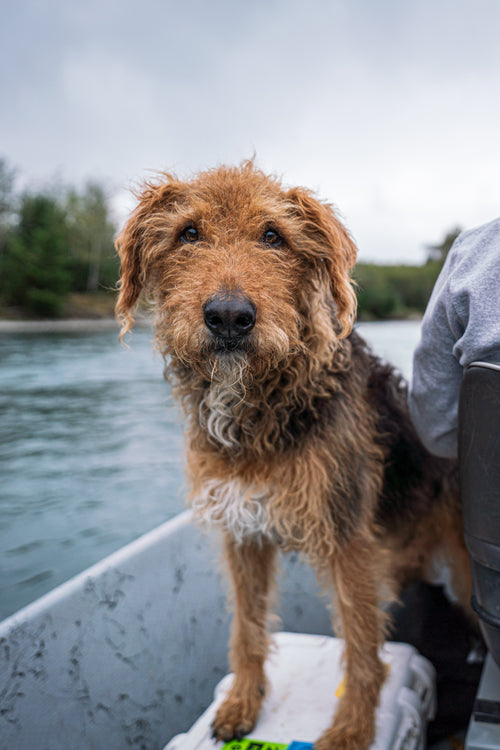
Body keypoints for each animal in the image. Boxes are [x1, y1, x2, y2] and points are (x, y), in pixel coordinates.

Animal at [116, 164, 472, 750]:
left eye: (273, 236)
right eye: (188, 233)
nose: (229, 316)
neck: (257, 409)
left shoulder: (348, 539)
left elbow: (362, 648)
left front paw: (351, 730)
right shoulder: (242, 530)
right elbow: (247, 628)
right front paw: (241, 704)